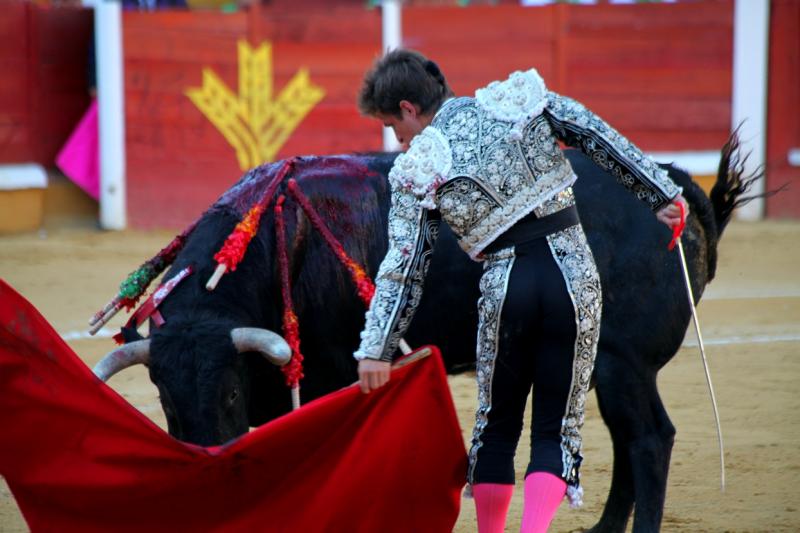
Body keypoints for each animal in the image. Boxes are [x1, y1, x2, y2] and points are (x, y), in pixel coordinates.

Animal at [94, 134, 756, 532]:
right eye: (163, 399)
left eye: (230, 391)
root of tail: (671, 181)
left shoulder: (331, 375)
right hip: (596, 361)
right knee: (622, 440)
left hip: (623, 362)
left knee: (647, 440)